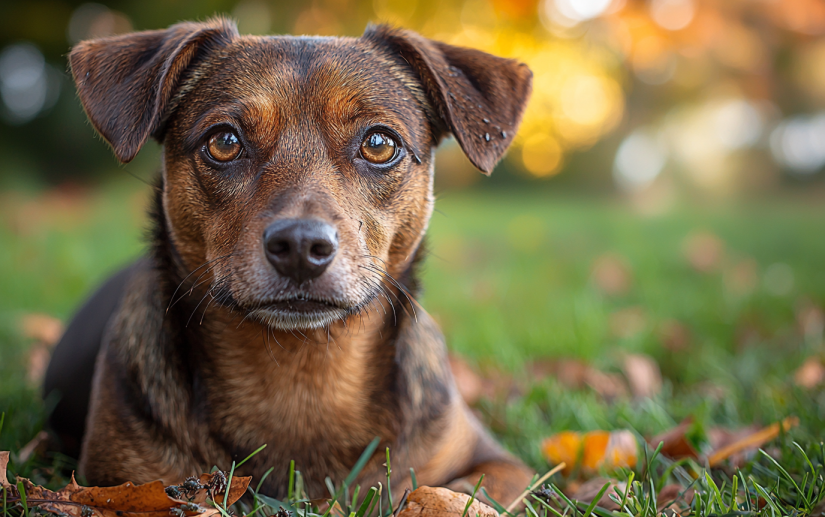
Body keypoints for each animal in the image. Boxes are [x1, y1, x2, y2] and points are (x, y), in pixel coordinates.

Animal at [45, 17, 536, 504]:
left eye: (379, 143)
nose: (301, 245)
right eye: (224, 141)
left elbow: (456, 496)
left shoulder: (501, 465)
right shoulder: (116, 481)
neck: (302, 371)